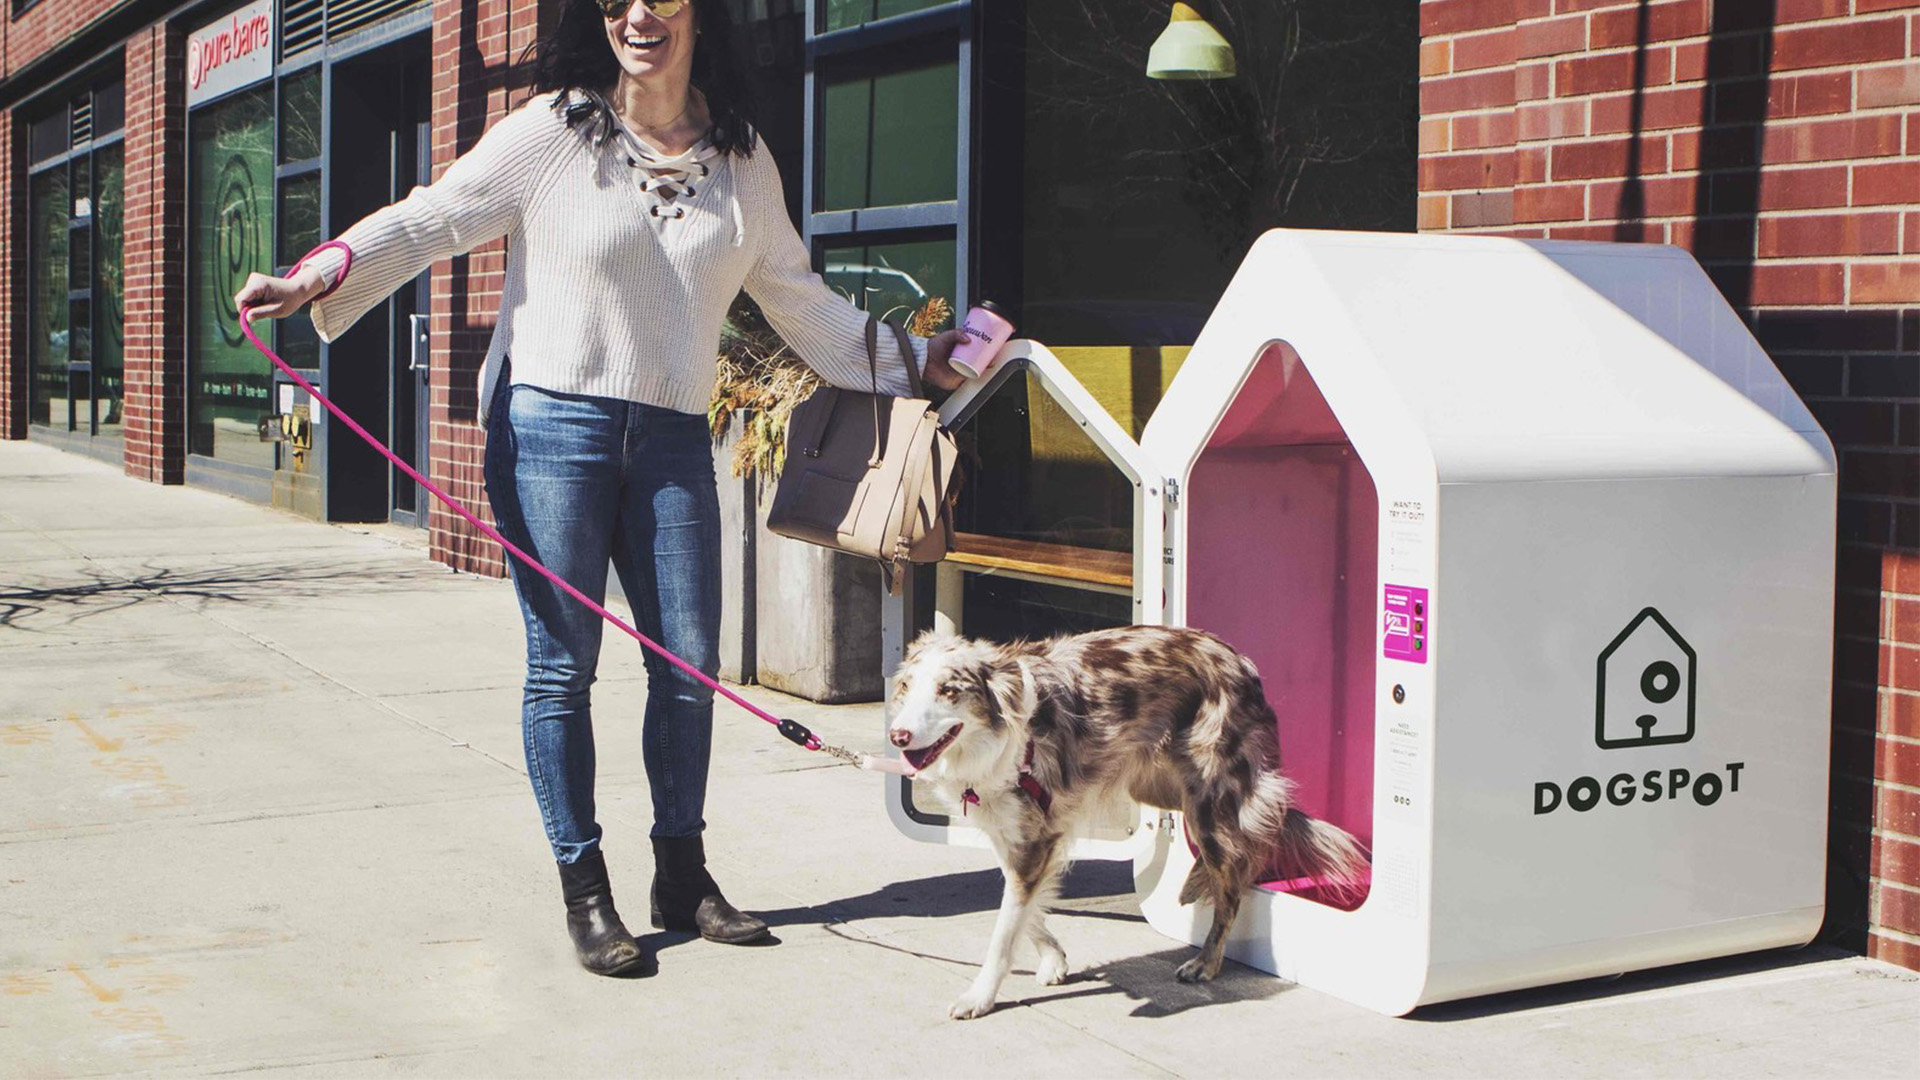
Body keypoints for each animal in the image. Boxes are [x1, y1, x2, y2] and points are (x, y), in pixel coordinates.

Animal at [883, 622, 1367, 1014]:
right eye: (906, 687)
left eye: (949, 690)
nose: (898, 735)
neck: (997, 739)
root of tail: (1240, 661)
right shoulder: (1020, 833)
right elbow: (1023, 908)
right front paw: (1053, 957)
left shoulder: (1035, 838)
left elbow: (1003, 931)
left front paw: (979, 997)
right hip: (1159, 788)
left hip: (1208, 805)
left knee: (1234, 882)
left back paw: (1206, 961)